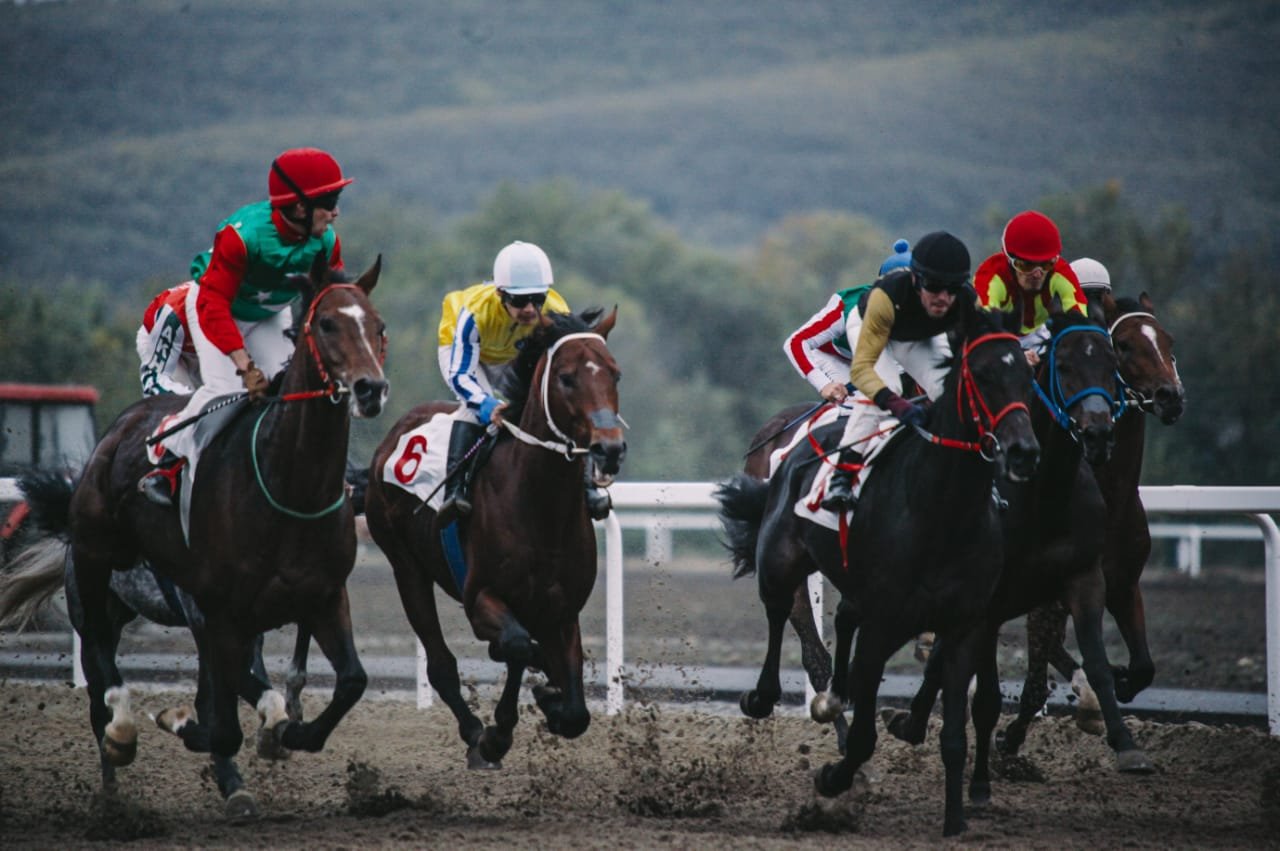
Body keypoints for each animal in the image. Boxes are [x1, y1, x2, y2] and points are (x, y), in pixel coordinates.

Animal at [57, 254, 387, 819]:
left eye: (379, 326)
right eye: (326, 324)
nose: (370, 389)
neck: (289, 486)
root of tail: (118, 430)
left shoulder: (323, 596)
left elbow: (350, 681)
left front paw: (289, 735)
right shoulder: (220, 612)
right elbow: (226, 718)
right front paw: (200, 732)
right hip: (93, 562)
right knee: (100, 664)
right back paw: (119, 745)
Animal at [363, 307, 624, 769]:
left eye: (616, 374)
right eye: (566, 378)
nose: (609, 449)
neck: (540, 507)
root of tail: (396, 433)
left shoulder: (562, 610)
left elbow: (575, 709)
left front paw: (555, 702)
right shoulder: (481, 597)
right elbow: (519, 646)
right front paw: (498, 734)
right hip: (406, 567)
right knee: (441, 664)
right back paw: (475, 734)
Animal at [717, 299, 1040, 836]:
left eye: (1028, 379)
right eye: (983, 374)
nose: (1023, 452)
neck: (943, 510)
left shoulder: (966, 624)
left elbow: (954, 729)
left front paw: (956, 819)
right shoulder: (884, 620)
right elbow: (866, 723)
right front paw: (836, 775)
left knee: (835, 622)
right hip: (781, 562)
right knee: (783, 615)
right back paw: (769, 697)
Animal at [882, 304, 1157, 815]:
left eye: (1112, 361)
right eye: (1062, 365)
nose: (1097, 433)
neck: (1043, 497)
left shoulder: (1086, 579)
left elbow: (1099, 665)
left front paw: (1127, 745)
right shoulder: (988, 601)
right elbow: (987, 697)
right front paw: (980, 784)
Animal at [1004, 291, 1185, 745]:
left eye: (1168, 341)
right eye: (1124, 345)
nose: (1170, 396)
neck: (1111, 494)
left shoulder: (1122, 583)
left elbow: (1143, 666)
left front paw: (1117, 683)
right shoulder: (1049, 595)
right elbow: (1039, 675)